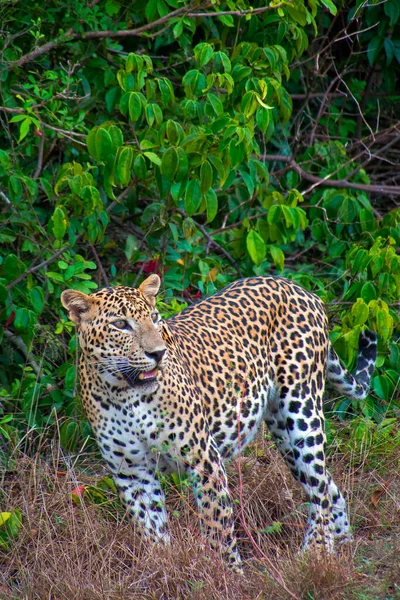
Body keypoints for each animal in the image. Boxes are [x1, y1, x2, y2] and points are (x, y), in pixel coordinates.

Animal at [61, 276, 376, 568]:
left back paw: (315, 553)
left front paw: (229, 575)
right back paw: (341, 544)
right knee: (327, 485)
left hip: (301, 411)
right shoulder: (131, 471)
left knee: (319, 488)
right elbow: (151, 530)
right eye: (121, 324)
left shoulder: (203, 459)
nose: (158, 353)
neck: (124, 394)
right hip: (283, 433)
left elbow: (217, 525)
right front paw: (162, 567)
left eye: (154, 318)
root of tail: (299, 288)